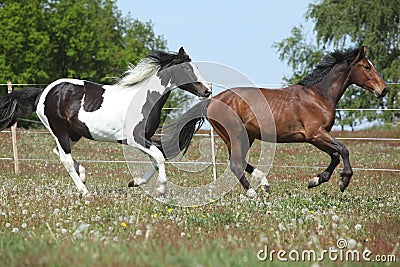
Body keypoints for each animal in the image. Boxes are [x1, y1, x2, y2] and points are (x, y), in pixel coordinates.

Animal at [0, 47, 212, 196]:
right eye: (186, 69)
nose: (207, 91)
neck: (143, 99)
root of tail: (42, 92)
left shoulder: (145, 138)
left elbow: (155, 159)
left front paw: (135, 182)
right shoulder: (135, 139)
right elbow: (159, 157)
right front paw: (160, 189)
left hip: (74, 133)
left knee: (58, 152)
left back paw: (83, 175)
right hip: (60, 130)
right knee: (65, 158)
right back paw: (84, 191)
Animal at [156, 46, 388, 199]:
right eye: (367, 67)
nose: (383, 89)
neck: (319, 95)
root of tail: (212, 100)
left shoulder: (317, 137)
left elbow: (335, 155)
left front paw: (316, 180)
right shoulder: (315, 134)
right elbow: (343, 150)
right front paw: (342, 181)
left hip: (242, 137)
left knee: (239, 162)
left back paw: (264, 185)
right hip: (236, 136)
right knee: (235, 164)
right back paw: (252, 193)